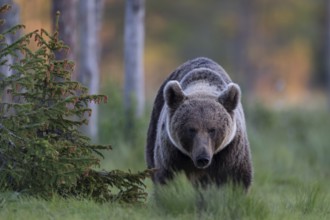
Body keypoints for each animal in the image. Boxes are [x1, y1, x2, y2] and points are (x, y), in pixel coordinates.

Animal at [146, 57, 253, 190]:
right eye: (191, 129)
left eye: (212, 129)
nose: (203, 158)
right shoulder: (171, 154)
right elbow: (166, 180)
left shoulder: (230, 152)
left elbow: (236, 179)